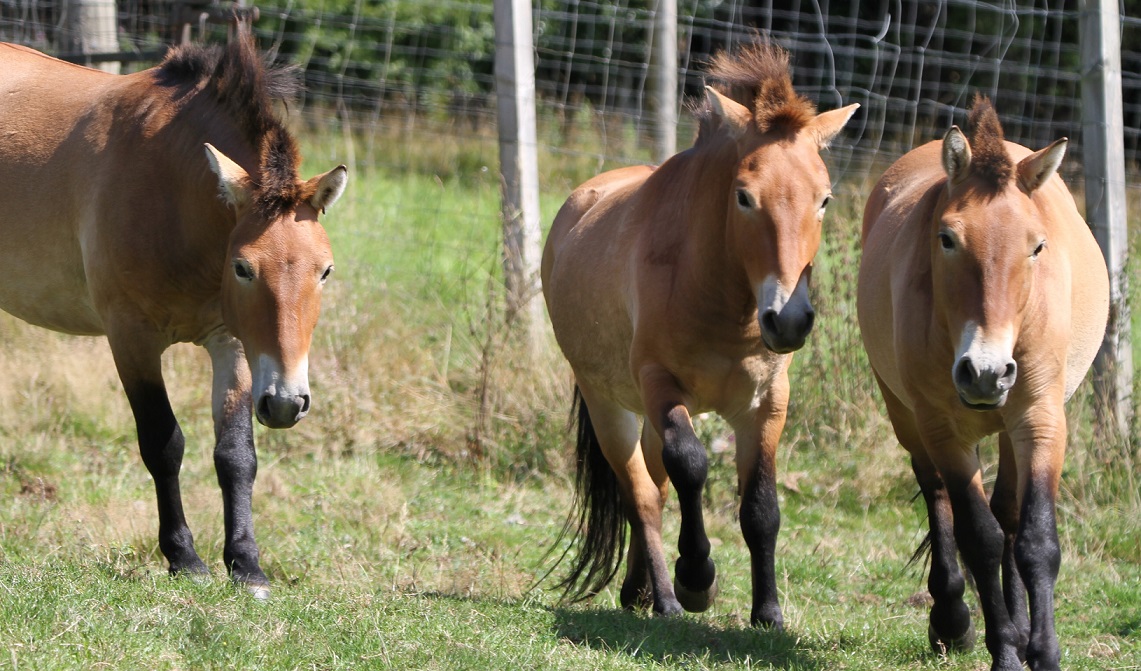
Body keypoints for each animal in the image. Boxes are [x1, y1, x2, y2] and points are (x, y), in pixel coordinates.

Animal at [0, 30, 346, 597]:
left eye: (326, 271)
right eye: (243, 268)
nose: (286, 403)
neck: (172, 187)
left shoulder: (236, 344)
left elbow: (236, 455)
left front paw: (247, 564)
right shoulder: (131, 339)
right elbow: (163, 443)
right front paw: (184, 557)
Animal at [540, 44, 858, 625]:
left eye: (824, 199)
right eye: (744, 197)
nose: (789, 319)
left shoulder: (767, 403)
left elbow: (761, 507)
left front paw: (768, 613)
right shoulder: (661, 385)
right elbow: (690, 465)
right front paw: (696, 578)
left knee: (656, 488)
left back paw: (639, 592)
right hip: (609, 405)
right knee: (642, 495)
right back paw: (665, 598)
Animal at [858, 95, 1109, 671]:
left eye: (1037, 246)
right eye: (948, 239)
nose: (987, 372)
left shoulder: (1041, 420)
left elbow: (1035, 538)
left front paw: (1042, 651)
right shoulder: (943, 430)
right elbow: (978, 537)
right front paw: (1005, 652)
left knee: (1010, 515)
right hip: (908, 418)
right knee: (938, 498)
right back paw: (953, 618)